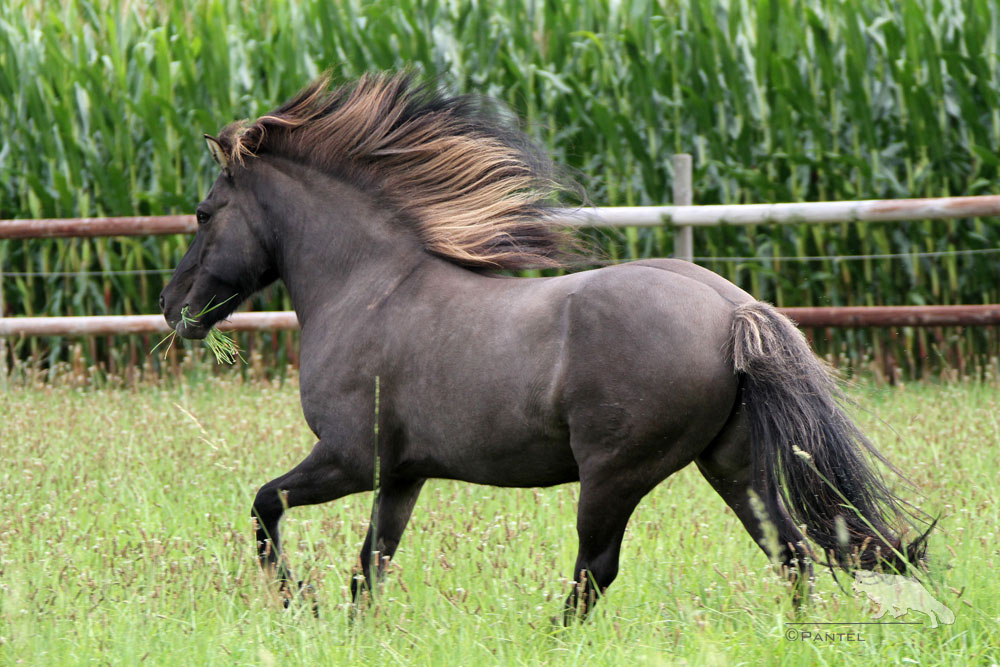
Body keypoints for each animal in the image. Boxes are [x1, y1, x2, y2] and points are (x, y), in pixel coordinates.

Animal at [160, 73, 924, 620]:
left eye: (203, 212)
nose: (175, 309)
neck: (369, 288)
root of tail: (734, 308)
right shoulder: (402, 475)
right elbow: (371, 564)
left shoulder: (350, 457)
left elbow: (266, 507)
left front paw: (297, 603)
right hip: (732, 466)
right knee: (791, 554)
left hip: (615, 474)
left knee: (596, 571)